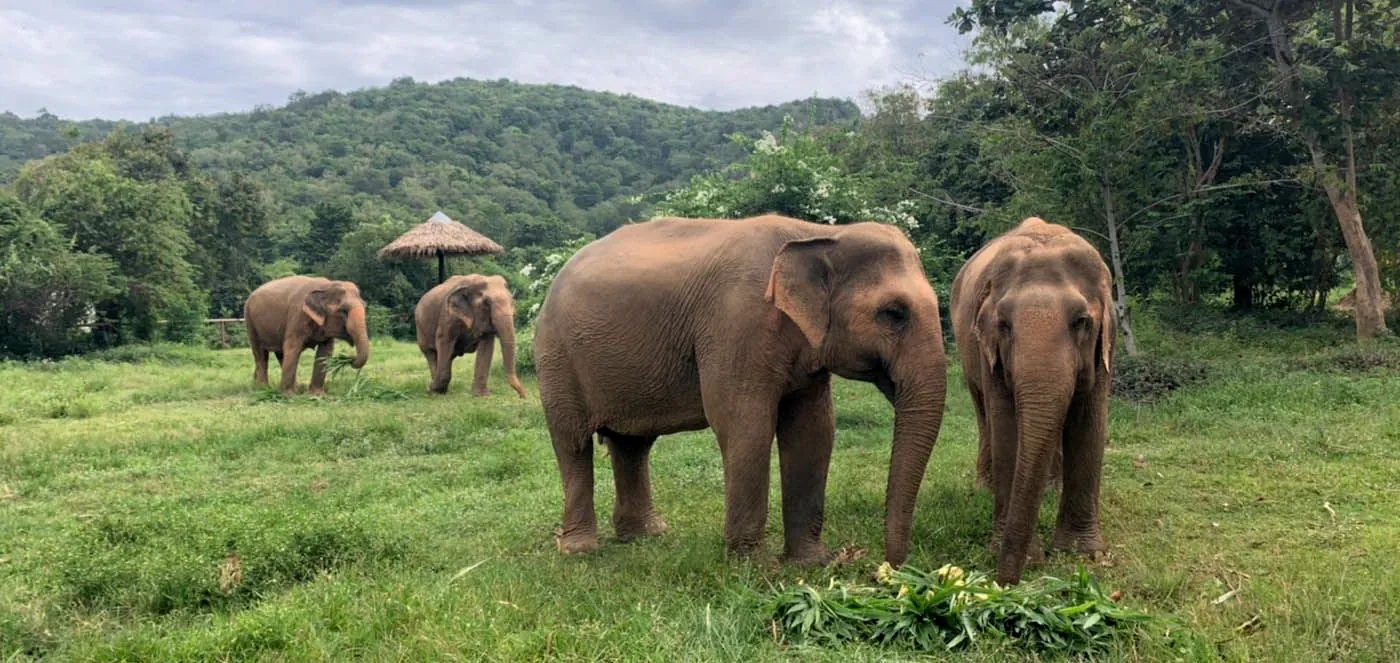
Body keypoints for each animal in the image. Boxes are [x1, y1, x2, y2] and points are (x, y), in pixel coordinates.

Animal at [533, 214, 948, 566]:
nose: (888, 567)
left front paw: (811, 563)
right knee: (573, 442)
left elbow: (814, 431)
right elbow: (745, 424)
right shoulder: (736, 324)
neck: (816, 233)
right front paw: (754, 568)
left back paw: (647, 536)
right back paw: (580, 550)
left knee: (632, 445)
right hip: (556, 355)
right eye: (893, 313)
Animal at [949, 217, 1117, 585]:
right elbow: (1006, 427)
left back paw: (1051, 488)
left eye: (1081, 321)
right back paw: (985, 486)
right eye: (1003, 325)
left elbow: (1089, 423)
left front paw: (1083, 553)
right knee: (983, 414)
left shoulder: (1103, 352)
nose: (1004, 582)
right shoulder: (989, 352)